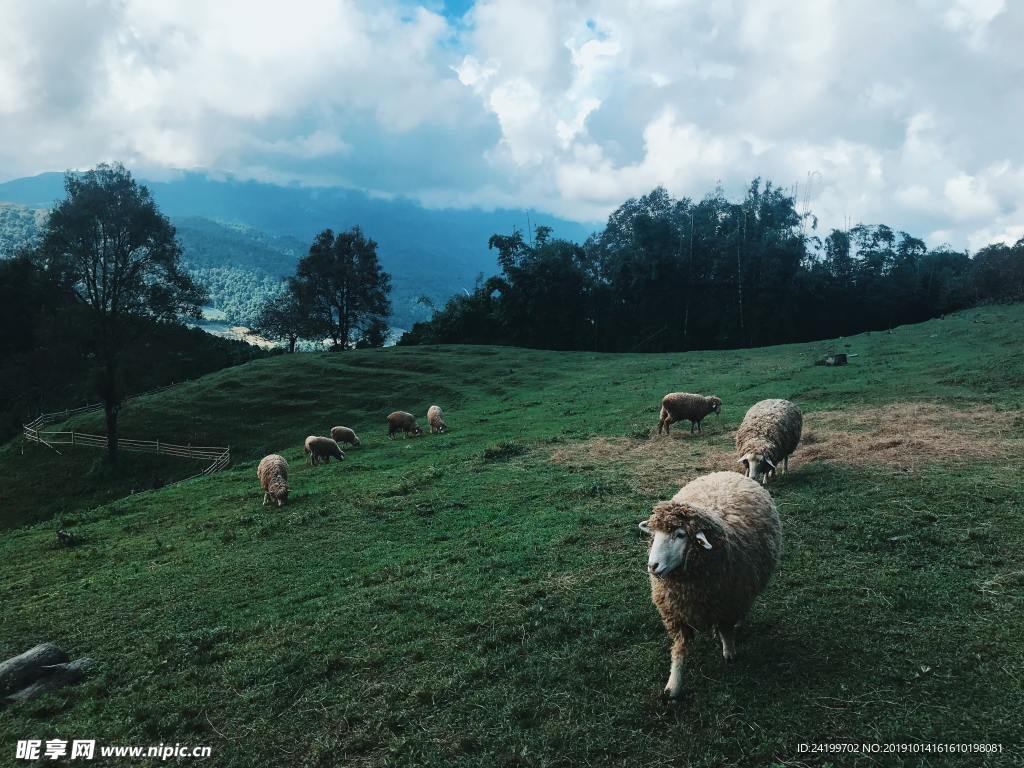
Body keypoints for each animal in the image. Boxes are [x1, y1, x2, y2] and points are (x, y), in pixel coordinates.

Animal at [634, 473, 778, 700]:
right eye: (654, 534)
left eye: (680, 535)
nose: (652, 566)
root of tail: (727, 473)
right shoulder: (676, 613)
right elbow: (679, 649)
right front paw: (673, 685)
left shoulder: (727, 603)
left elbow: (726, 630)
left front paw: (729, 652)